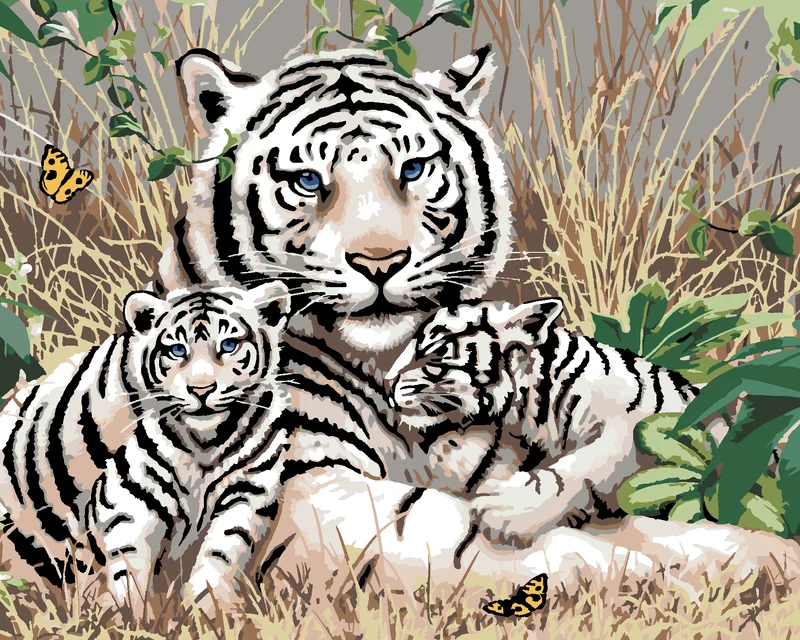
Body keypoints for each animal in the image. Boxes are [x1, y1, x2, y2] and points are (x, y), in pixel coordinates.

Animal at [0, 282, 289, 590]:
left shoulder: (248, 490)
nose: (201, 390)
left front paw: (205, 601)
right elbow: (129, 571)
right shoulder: (127, 498)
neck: (205, 443)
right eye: (177, 350)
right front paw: (131, 603)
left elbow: (220, 557)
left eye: (228, 345)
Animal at [383, 298, 699, 554]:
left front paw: (504, 512)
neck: (532, 411)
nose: (385, 383)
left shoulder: (630, 428)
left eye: (433, 354)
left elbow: (573, 470)